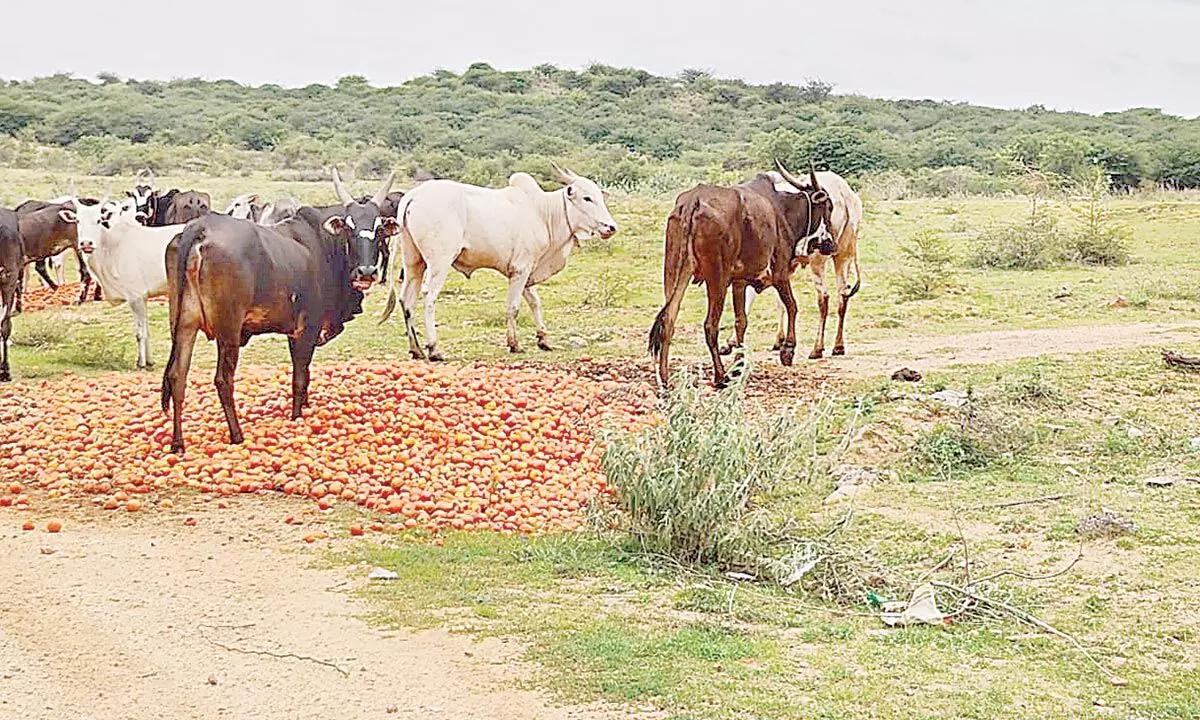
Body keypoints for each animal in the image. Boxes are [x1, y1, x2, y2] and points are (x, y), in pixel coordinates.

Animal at [60, 198, 184, 372]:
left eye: (99, 220)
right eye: (77, 221)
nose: (86, 243)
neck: (111, 248)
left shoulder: (135, 297)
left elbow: (140, 333)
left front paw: (141, 363)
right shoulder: (143, 297)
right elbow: (146, 330)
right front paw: (150, 361)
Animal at [160, 172, 398, 451]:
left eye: (379, 228)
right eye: (349, 228)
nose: (366, 272)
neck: (324, 244)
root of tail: (201, 226)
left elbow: (305, 374)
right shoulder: (307, 328)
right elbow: (299, 377)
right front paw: (296, 416)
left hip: (183, 324)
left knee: (177, 377)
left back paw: (178, 443)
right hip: (228, 331)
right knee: (223, 380)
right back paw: (237, 435)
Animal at [384, 164, 619, 360]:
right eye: (587, 198)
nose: (611, 227)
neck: (544, 213)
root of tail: (412, 196)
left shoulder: (526, 270)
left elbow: (535, 302)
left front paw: (543, 339)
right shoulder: (521, 269)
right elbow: (513, 307)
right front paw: (514, 344)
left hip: (413, 262)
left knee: (406, 300)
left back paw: (416, 349)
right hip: (439, 262)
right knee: (429, 296)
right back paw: (434, 348)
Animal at [648, 162, 835, 388]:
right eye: (829, 207)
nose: (830, 245)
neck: (783, 210)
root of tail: (694, 200)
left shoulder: (739, 283)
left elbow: (741, 321)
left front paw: (739, 363)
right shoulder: (780, 273)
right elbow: (792, 306)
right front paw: (788, 350)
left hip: (675, 271)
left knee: (668, 320)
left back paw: (665, 380)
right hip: (717, 278)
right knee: (710, 325)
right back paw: (720, 376)